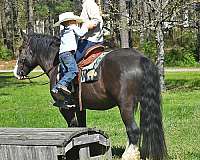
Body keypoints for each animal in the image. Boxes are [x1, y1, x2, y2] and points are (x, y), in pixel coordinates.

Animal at [13, 32, 167, 160]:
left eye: (20, 49)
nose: (16, 72)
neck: (56, 64)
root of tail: (141, 58)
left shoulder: (65, 107)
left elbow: (72, 126)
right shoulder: (80, 106)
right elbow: (81, 127)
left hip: (126, 105)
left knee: (133, 130)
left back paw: (128, 155)